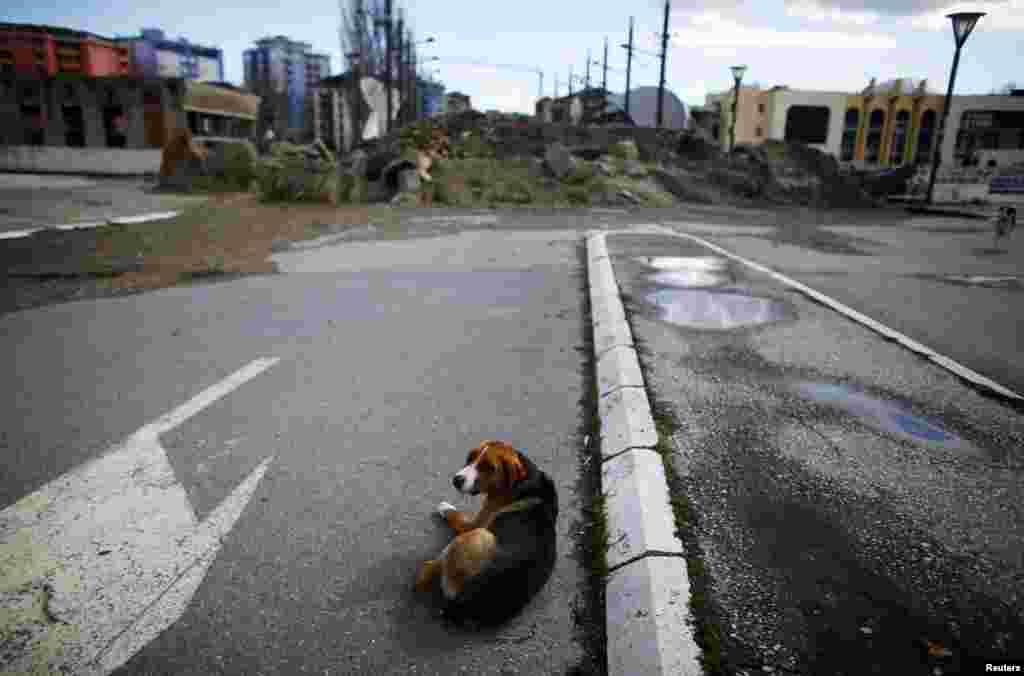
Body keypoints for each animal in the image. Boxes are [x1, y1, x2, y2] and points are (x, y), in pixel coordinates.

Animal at [413, 440, 561, 626]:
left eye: (488, 467)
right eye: (471, 457)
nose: (456, 480)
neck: (527, 478)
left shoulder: (475, 523)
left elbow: (457, 516)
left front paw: (445, 507)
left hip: (478, 534)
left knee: (428, 570)